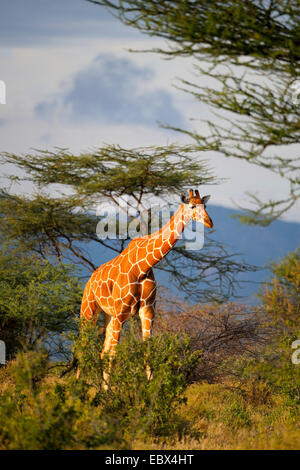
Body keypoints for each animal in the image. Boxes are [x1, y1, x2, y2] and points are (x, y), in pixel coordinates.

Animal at [78, 188, 212, 386]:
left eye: (205, 205)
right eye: (192, 206)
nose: (210, 222)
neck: (143, 266)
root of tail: (89, 281)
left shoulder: (147, 310)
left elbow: (147, 351)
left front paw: (148, 386)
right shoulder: (121, 313)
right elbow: (115, 355)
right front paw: (112, 390)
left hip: (108, 316)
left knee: (103, 352)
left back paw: (101, 387)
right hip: (88, 311)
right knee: (83, 348)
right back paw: (76, 387)